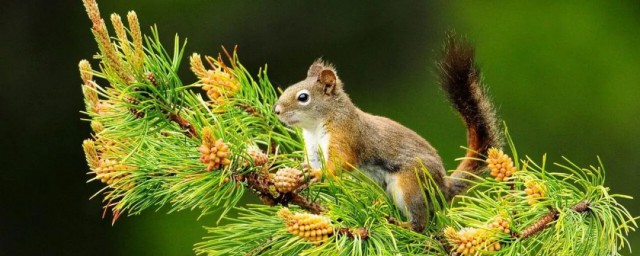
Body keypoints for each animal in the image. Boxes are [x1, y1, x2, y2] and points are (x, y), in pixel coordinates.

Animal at [272, 35, 502, 233]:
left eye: (303, 97)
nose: (277, 111)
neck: (316, 127)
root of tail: (443, 188)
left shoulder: (345, 135)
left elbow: (341, 161)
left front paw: (319, 174)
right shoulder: (312, 147)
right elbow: (312, 163)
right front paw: (300, 175)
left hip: (410, 184)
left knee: (420, 222)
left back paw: (403, 225)